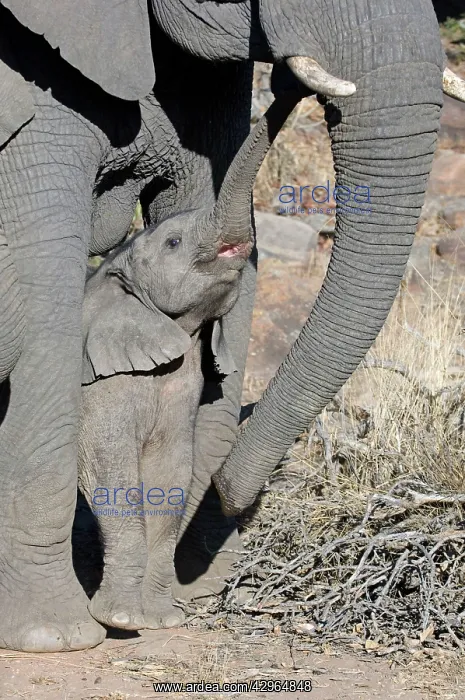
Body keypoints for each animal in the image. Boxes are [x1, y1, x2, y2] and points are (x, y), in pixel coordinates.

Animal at [77, 89, 297, 631]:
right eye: (174, 243)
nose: (290, 88)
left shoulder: (182, 382)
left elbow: (172, 472)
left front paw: (161, 621)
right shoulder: (99, 381)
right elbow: (111, 468)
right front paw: (120, 621)